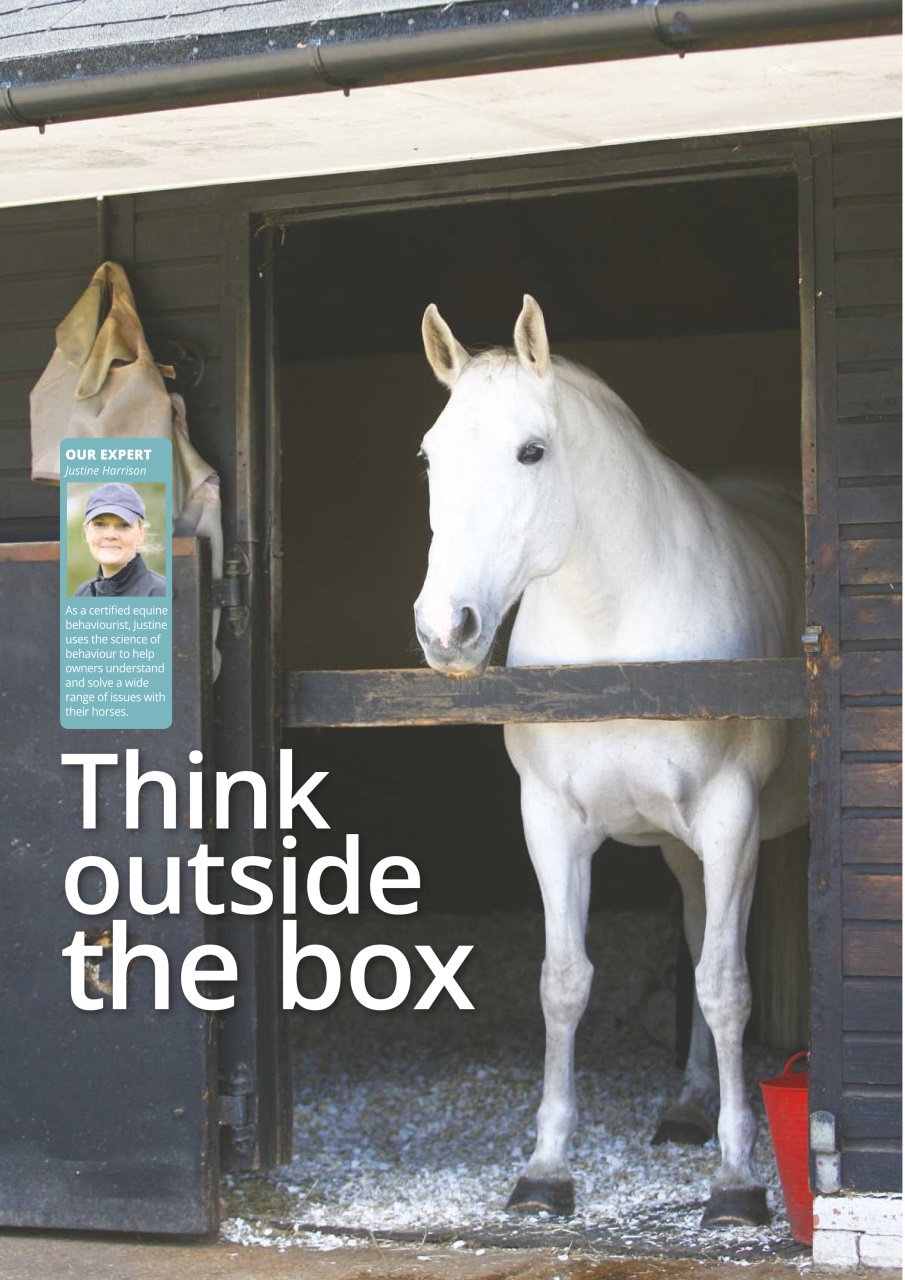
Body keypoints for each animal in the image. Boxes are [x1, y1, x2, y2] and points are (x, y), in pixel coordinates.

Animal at [413, 296, 808, 1228]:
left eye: (531, 451)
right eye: (430, 456)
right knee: (694, 932)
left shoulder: (729, 818)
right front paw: (546, 1169)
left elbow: (727, 985)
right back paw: (687, 1107)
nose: (446, 630)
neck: (615, 631)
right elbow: (564, 983)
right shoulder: (552, 821)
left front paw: (736, 1182)